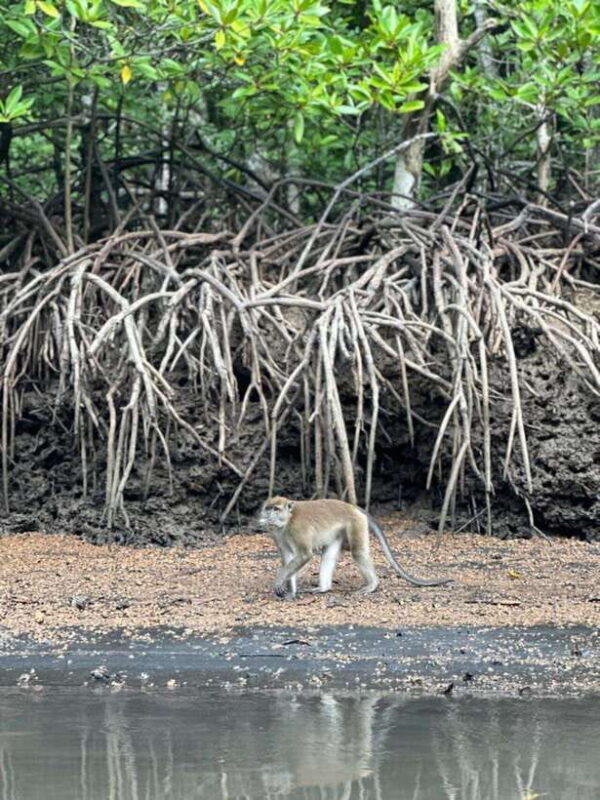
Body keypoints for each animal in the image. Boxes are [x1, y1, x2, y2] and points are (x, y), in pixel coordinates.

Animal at [256, 496, 452, 599]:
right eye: (268, 508)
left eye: (276, 509)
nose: (268, 515)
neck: (287, 521)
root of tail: (352, 506)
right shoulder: (277, 534)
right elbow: (289, 558)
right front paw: (290, 591)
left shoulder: (297, 529)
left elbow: (304, 555)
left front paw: (280, 580)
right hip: (339, 532)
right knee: (328, 555)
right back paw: (323, 588)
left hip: (356, 523)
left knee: (358, 552)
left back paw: (372, 585)